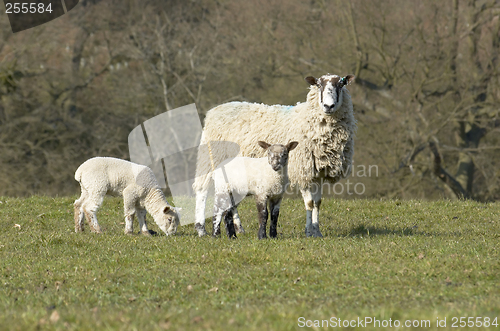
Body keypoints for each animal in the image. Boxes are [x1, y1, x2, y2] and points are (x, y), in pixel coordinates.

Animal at [191, 74, 356, 237]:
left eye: (341, 84)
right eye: (318, 84)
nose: (328, 106)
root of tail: (214, 110)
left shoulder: (318, 173)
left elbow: (317, 203)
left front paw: (317, 231)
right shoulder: (302, 169)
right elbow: (309, 203)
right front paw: (309, 231)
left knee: (231, 200)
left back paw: (238, 228)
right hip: (210, 160)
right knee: (202, 191)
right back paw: (201, 229)